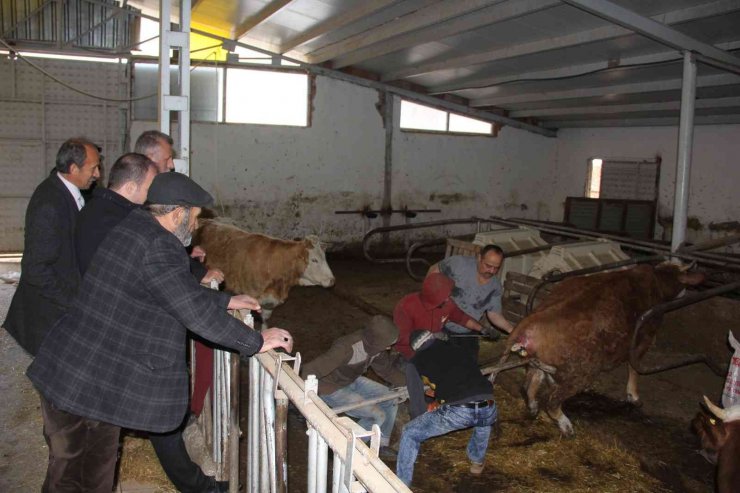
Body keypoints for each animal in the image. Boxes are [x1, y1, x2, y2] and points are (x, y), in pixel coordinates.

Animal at [500, 262, 704, 434]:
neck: (657, 282)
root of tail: (531, 321)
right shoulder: (644, 339)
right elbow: (634, 368)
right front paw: (634, 396)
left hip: (539, 362)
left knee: (530, 385)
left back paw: (534, 407)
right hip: (582, 372)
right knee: (551, 401)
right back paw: (567, 426)